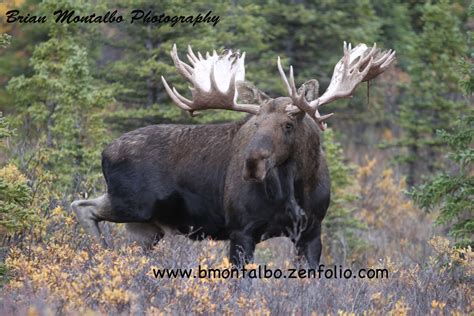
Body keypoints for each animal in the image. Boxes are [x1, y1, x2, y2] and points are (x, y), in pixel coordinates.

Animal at [71, 40, 396, 266]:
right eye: (254, 125)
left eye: (288, 124)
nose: (252, 164)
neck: (295, 188)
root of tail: (105, 151)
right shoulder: (241, 230)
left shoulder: (312, 232)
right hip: (132, 204)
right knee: (81, 205)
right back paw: (99, 252)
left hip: (146, 227)